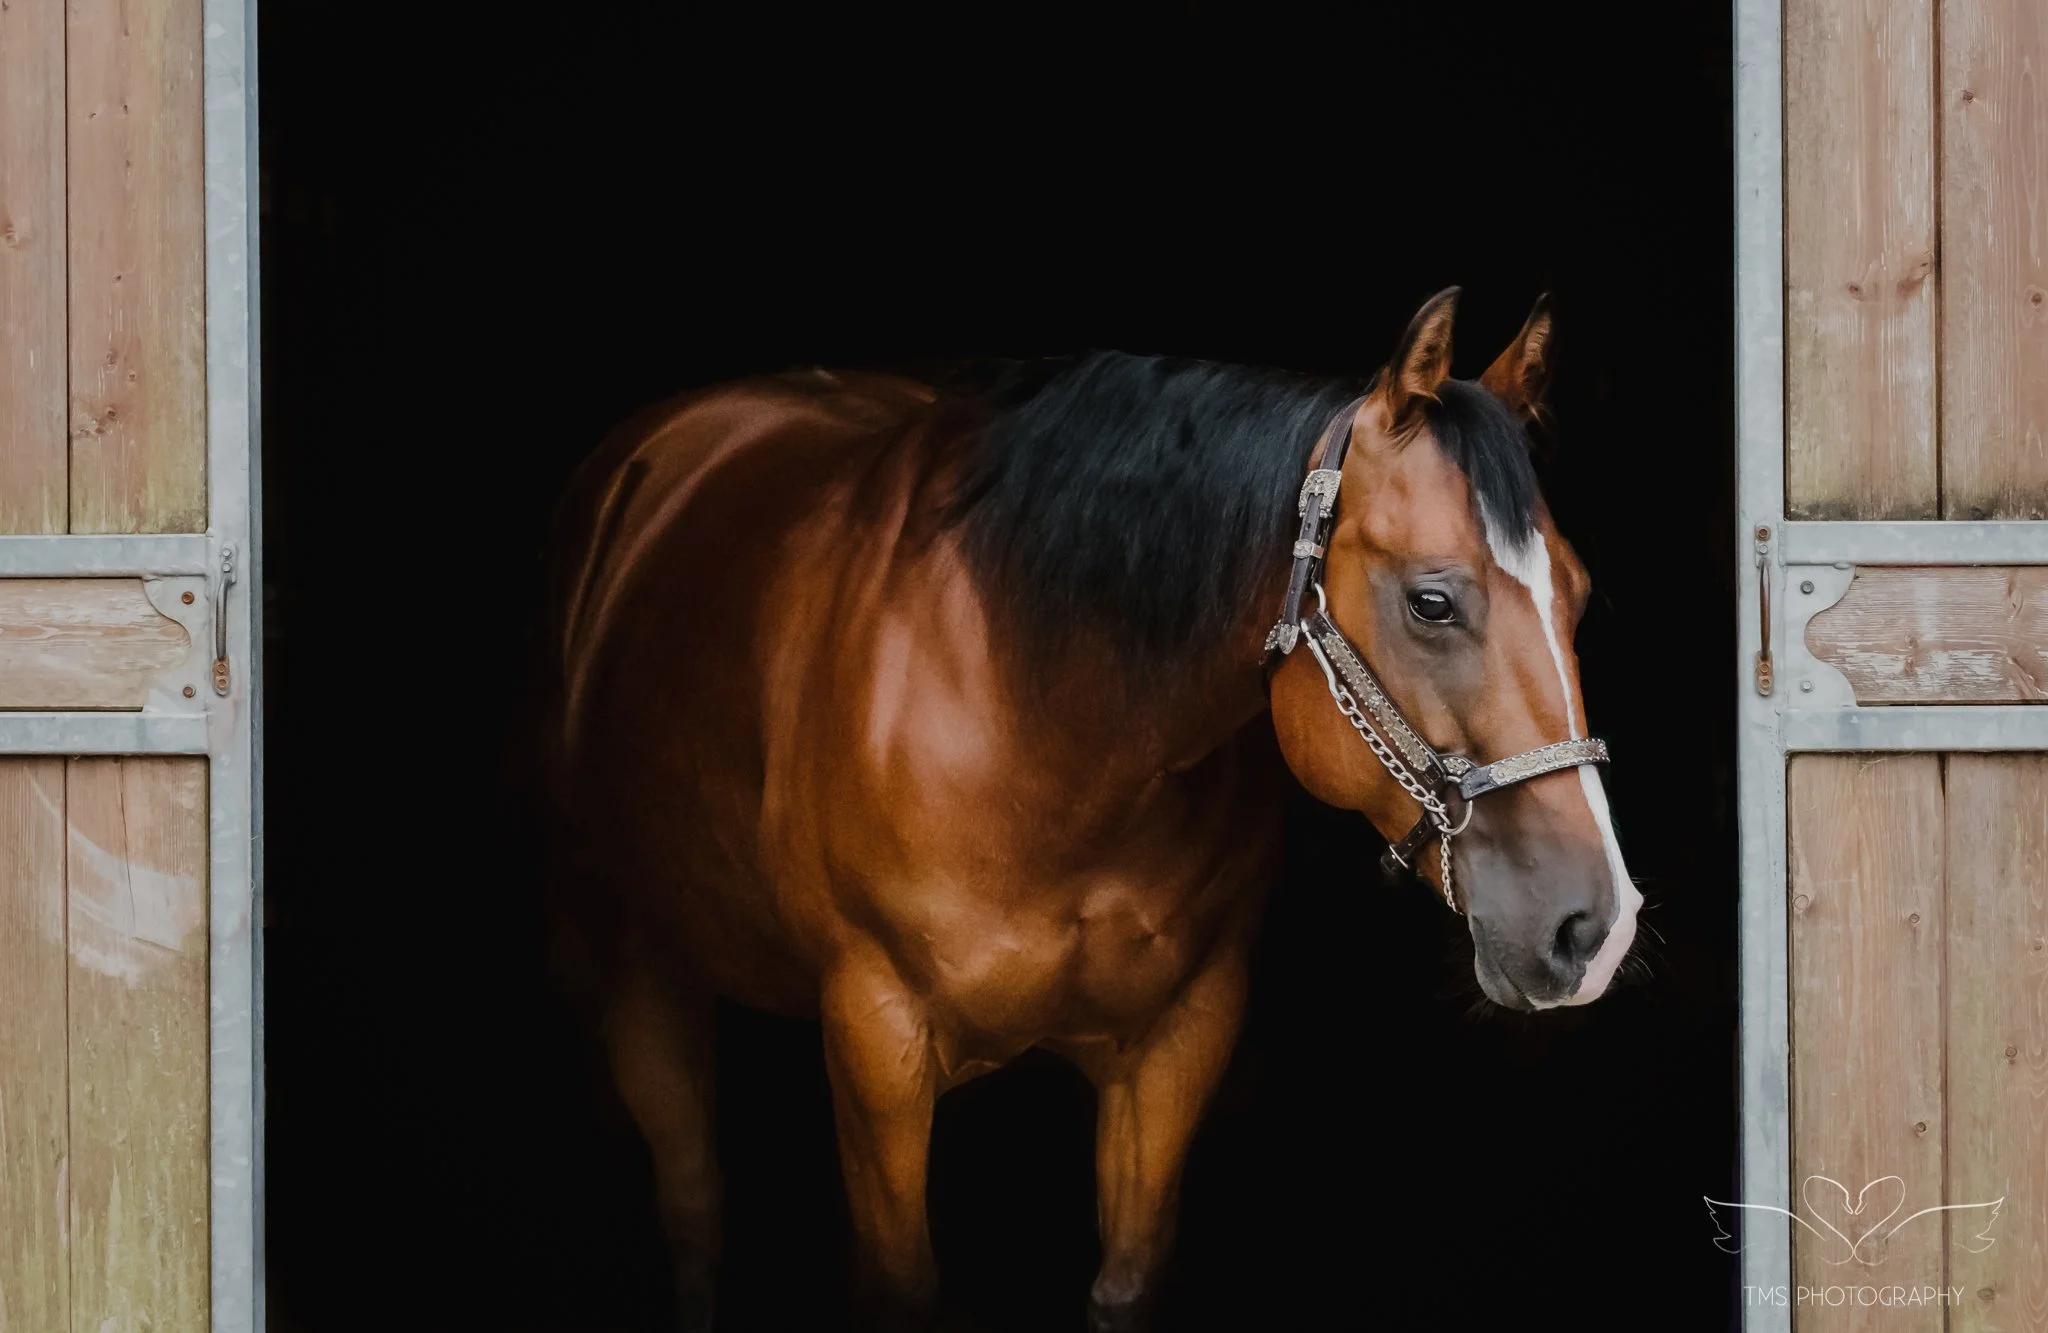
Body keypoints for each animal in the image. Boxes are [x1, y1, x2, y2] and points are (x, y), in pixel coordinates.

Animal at [537, 288, 1640, 1331]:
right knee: (692, 1210)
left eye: (1579, 595)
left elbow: (1125, 1281)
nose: (1596, 927)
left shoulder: (1180, 1036)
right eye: (1431, 601)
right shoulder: (874, 1037)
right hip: (639, 971)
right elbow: (896, 1287)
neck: (1047, 734)